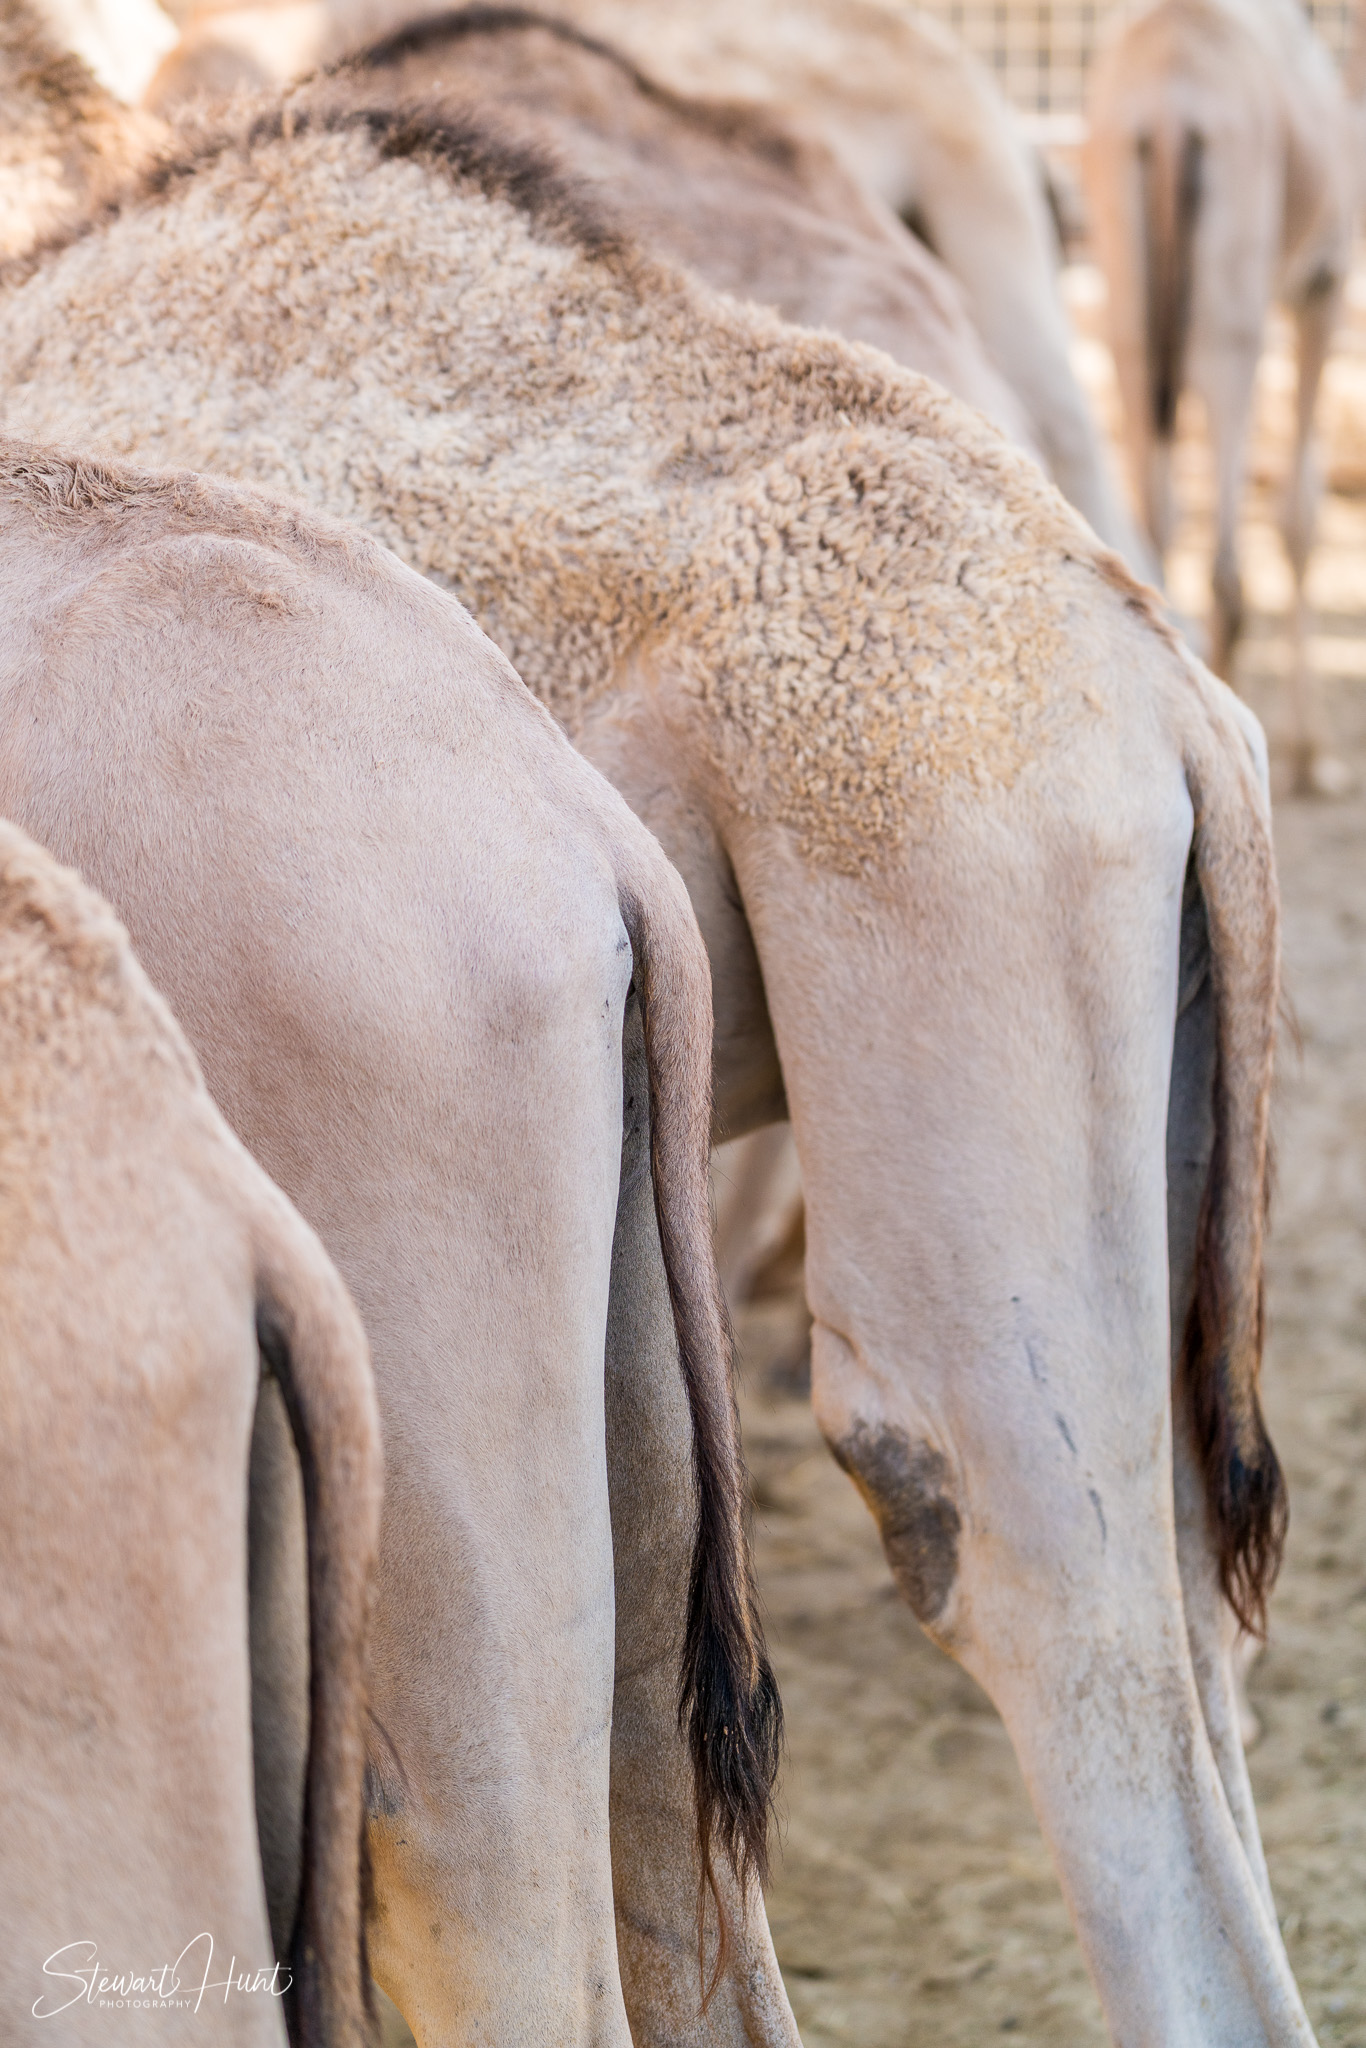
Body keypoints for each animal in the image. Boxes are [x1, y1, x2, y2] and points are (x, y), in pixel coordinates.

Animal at [1085, 0, 1362, 795]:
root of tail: (1168, 105)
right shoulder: (1325, 283)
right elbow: (1300, 515)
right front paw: (1313, 757)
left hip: (1126, 297)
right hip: (1229, 317)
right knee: (1231, 571)